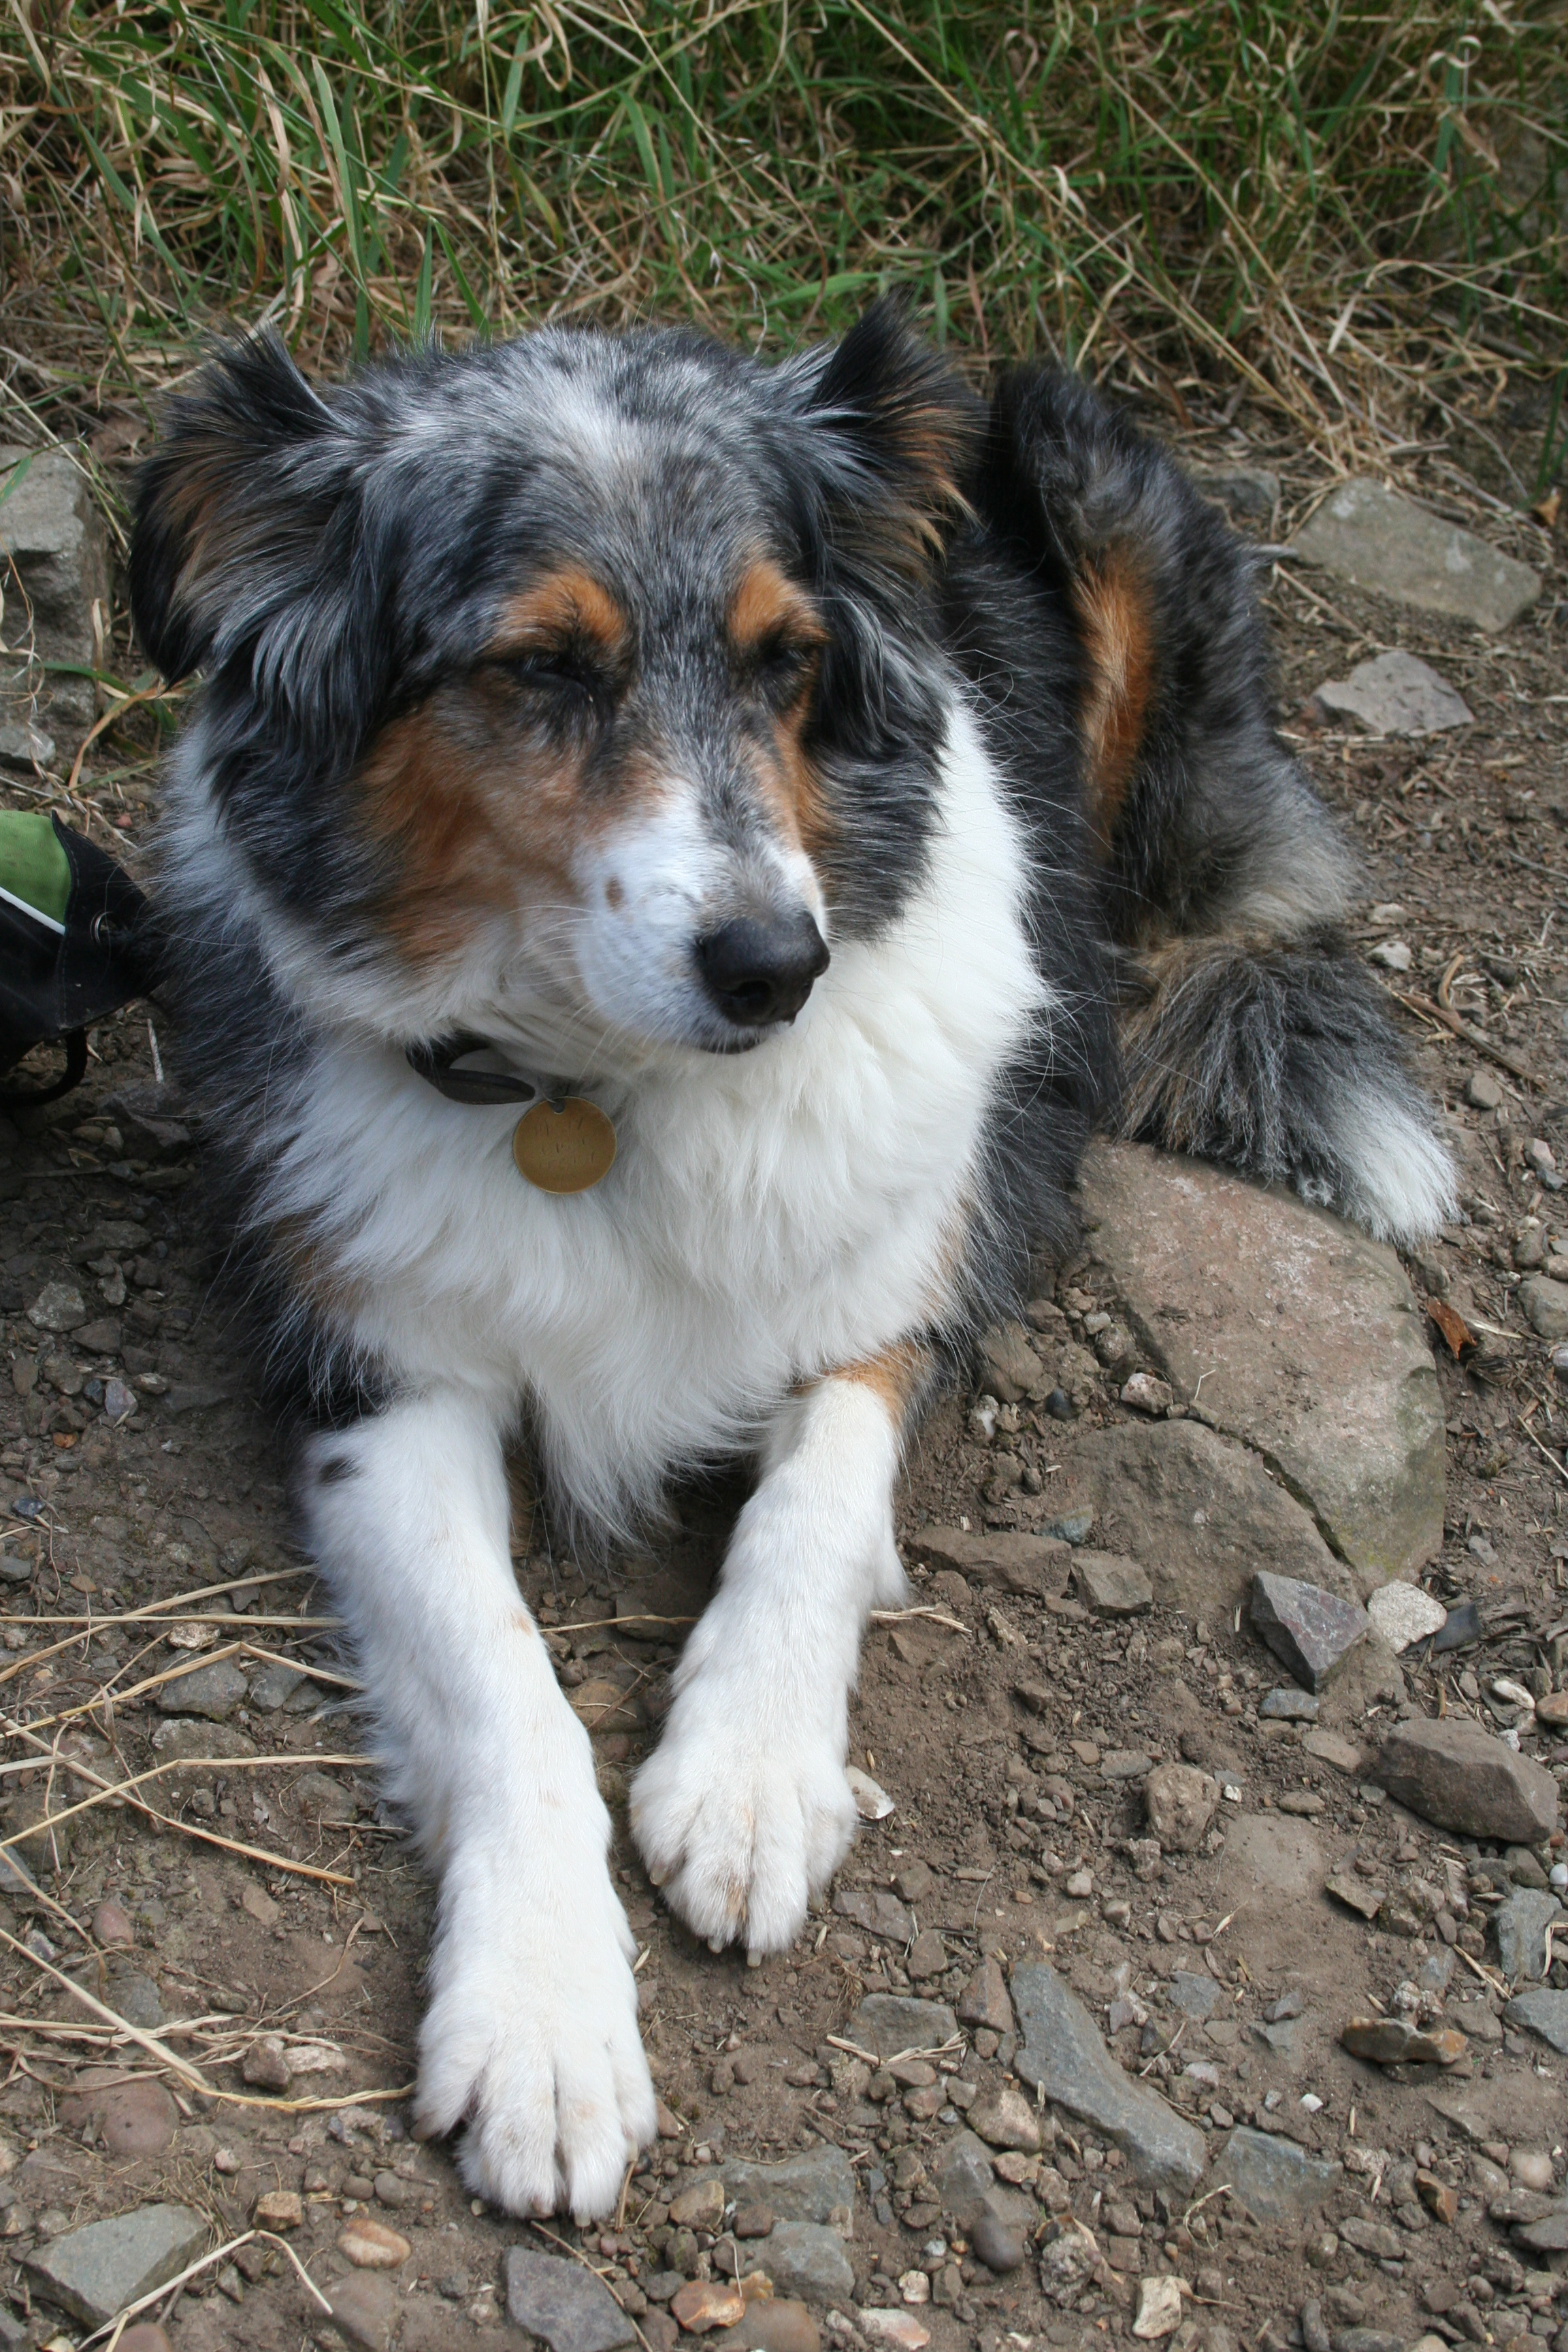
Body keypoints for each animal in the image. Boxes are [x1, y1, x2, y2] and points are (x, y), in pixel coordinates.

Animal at [125, 308, 1457, 2220]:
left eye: (787, 660)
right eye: (539, 667)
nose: (778, 966)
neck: (606, 1091)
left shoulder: (899, 1282)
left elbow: (813, 1505)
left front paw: (749, 1777)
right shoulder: (374, 1371)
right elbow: (503, 1681)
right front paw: (544, 2022)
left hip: (1084, 471)